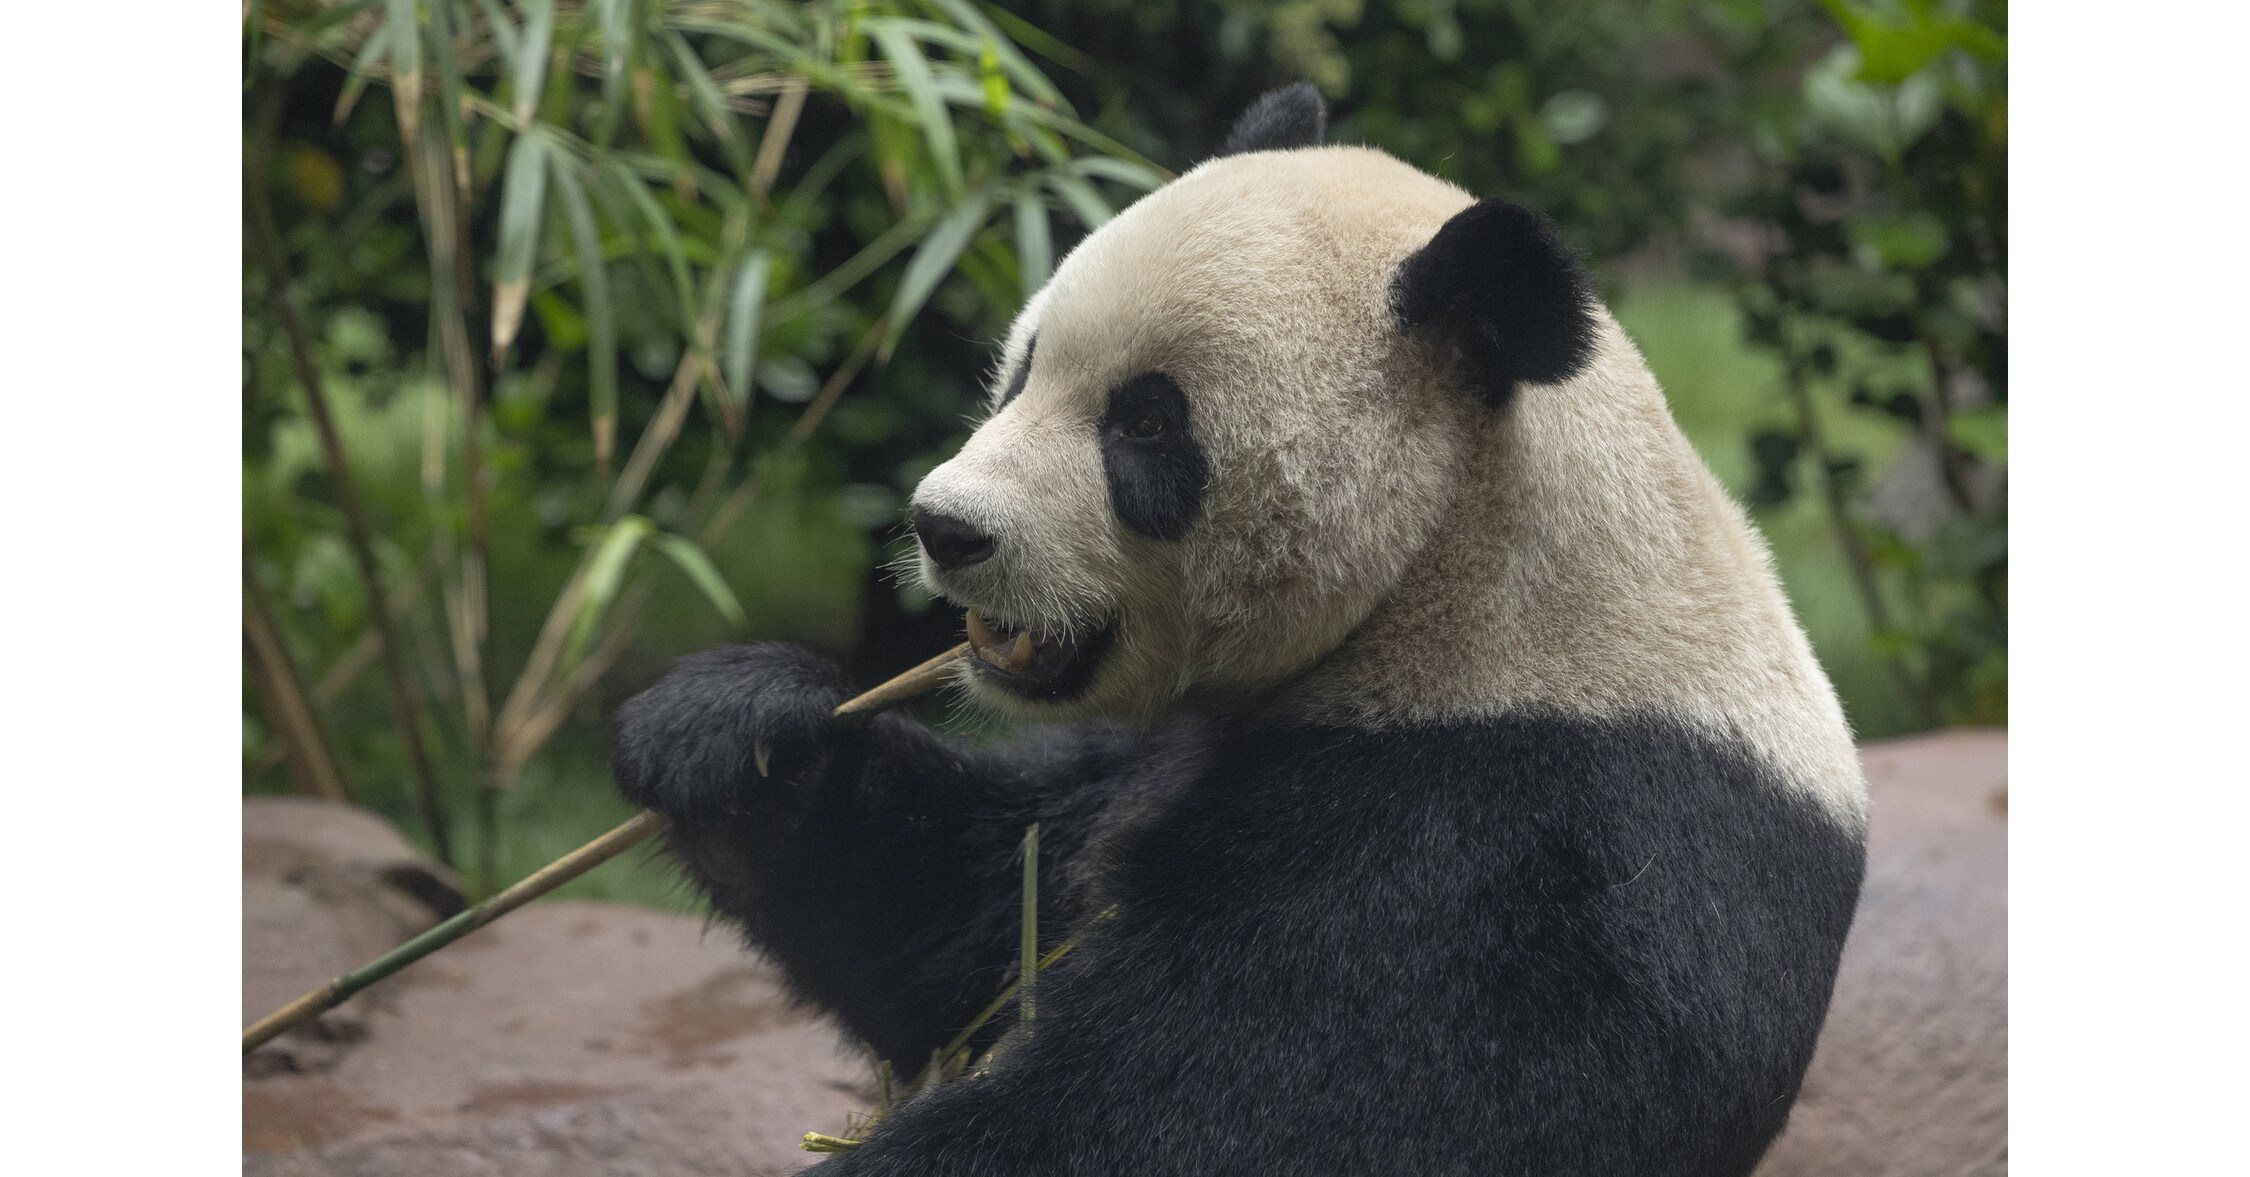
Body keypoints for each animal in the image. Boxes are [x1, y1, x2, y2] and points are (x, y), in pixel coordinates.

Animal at [616, 84, 1863, 1177]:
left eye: (1146, 424)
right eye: (1023, 369)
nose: (946, 526)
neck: (1463, 580)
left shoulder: (1502, 847)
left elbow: (1196, 1107)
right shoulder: (1158, 758)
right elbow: (962, 917)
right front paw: (734, 732)